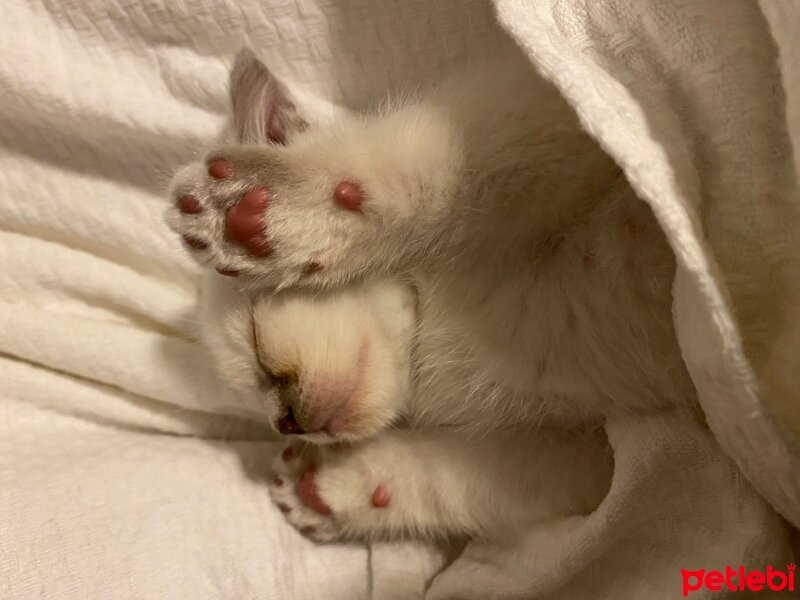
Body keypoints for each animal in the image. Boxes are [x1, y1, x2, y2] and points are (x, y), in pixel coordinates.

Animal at [167, 47, 692, 584]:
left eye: (255, 336)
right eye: (258, 400)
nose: (286, 422)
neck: (433, 326)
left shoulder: (568, 115)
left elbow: (444, 164)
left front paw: (265, 213)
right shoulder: (606, 452)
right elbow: (474, 480)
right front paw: (331, 487)